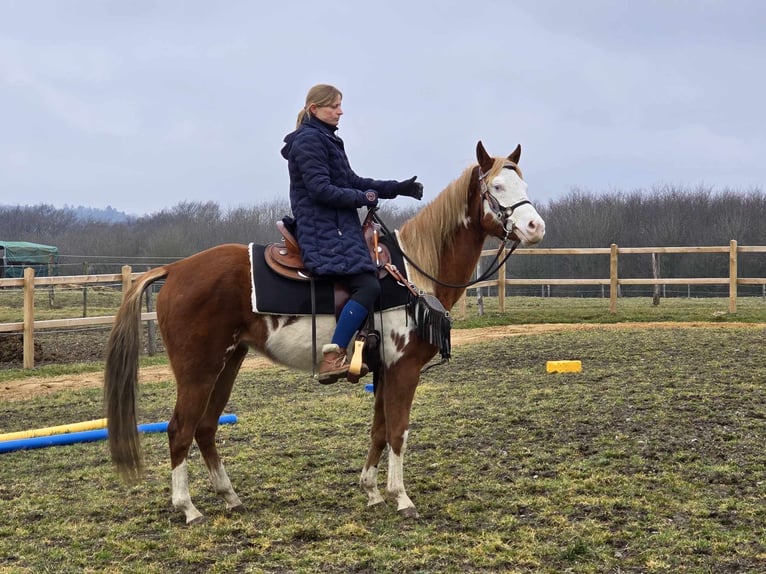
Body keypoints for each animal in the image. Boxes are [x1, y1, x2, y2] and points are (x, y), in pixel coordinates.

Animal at [103, 141, 544, 528]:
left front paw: (372, 491)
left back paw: (230, 497)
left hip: (227, 363)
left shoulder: (384, 370)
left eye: (524, 183)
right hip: (198, 370)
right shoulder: (404, 368)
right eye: (497, 187)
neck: (412, 275)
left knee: (205, 428)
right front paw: (401, 498)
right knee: (180, 429)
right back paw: (188, 508)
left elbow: (379, 429)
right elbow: (398, 430)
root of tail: (175, 270)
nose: (535, 226)